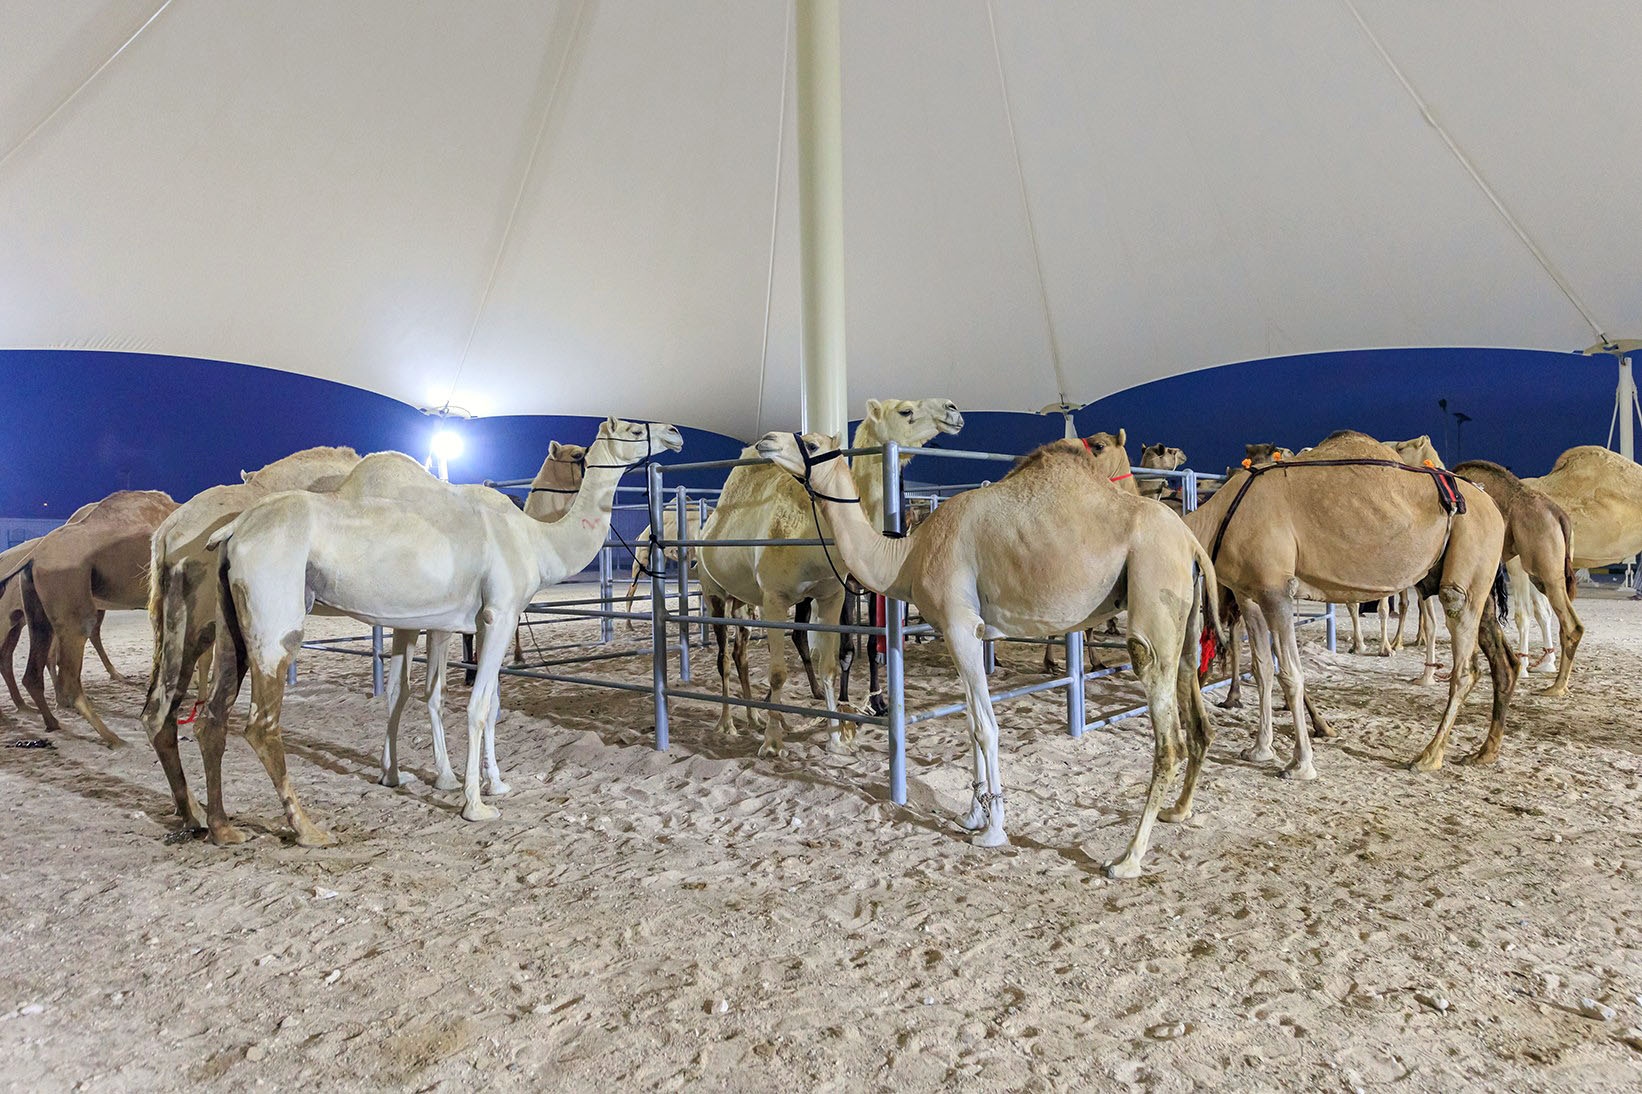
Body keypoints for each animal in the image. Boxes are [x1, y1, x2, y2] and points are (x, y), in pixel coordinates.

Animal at [3, 491, 179, 746]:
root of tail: (33, 555)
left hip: (37, 609)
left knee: (32, 672)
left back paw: (52, 722)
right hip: (72, 597)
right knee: (69, 672)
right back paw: (112, 736)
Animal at [193, 419, 681, 847]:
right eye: (632, 430)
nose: (674, 433)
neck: (538, 541)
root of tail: (234, 530)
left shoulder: (476, 620)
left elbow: (486, 701)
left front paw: (495, 783)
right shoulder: (499, 614)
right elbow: (478, 706)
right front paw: (475, 804)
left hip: (234, 622)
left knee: (211, 715)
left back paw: (220, 827)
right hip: (276, 616)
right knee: (260, 723)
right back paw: (308, 830)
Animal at [696, 398, 963, 757]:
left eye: (812, 444)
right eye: (905, 410)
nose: (953, 410)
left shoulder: (835, 592)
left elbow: (838, 660)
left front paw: (841, 731)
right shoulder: (778, 598)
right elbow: (780, 671)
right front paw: (773, 741)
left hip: (743, 601)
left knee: (741, 654)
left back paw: (755, 716)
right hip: (713, 591)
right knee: (724, 657)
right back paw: (728, 724)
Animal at [756, 431, 1219, 877]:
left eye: (811, 443)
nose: (766, 441)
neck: (908, 556)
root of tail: (1192, 543)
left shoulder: (958, 624)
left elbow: (986, 728)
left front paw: (994, 829)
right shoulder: (971, 630)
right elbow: (969, 723)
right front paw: (972, 814)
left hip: (1154, 592)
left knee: (1166, 730)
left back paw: (1128, 859)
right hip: (1186, 618)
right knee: (1192, 698)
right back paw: (1178, 812)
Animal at [1185, 430, 1515, 778]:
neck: (1216, 520)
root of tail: (1492, 505)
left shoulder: (1276, 590)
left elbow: (1290, 673)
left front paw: (1301, 764)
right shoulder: (1248, 592)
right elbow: (1262, 669)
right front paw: (1260, 750)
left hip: (1470, 554)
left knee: (1463, 657)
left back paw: (1429, 756)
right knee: (1498, 661)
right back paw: (1484, 752)